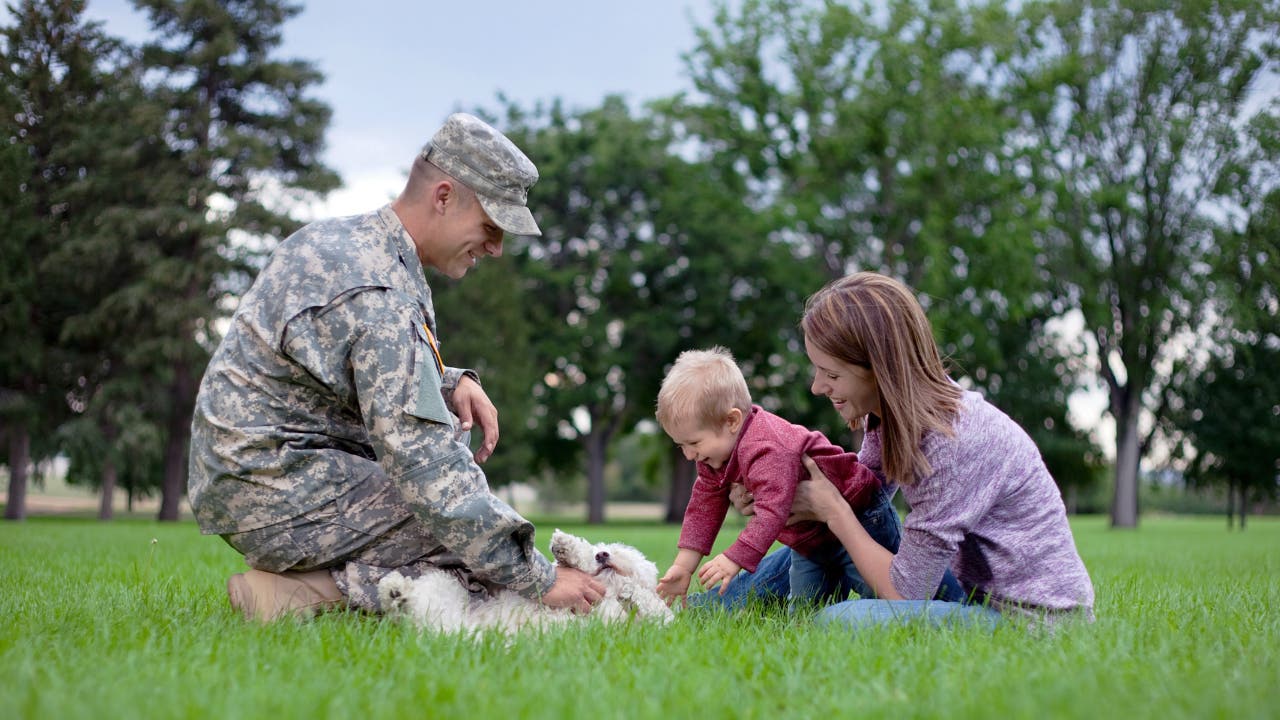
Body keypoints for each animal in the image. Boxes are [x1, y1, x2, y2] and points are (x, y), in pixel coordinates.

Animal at [373, 527, 675, 632]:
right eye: (599, 548)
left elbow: (654, 607)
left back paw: (397, 595)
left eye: (621, 551)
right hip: (443, 587)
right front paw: (568, 549)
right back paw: (395, 590)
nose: (602, 554)